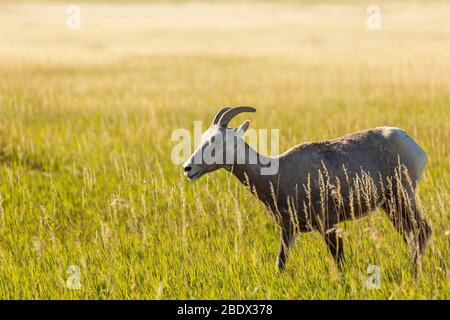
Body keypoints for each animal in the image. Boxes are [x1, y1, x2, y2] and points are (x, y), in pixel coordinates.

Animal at [183, 107, 432, 272]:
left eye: (216, 140)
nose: (188, 168)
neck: (280, 171)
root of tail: (410, 142)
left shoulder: (329, 224)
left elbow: (339, 262)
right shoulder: (288, 230)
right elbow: (280, 264)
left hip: (403, 197)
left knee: (423, 230)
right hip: (390, 205)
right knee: (411, 234)